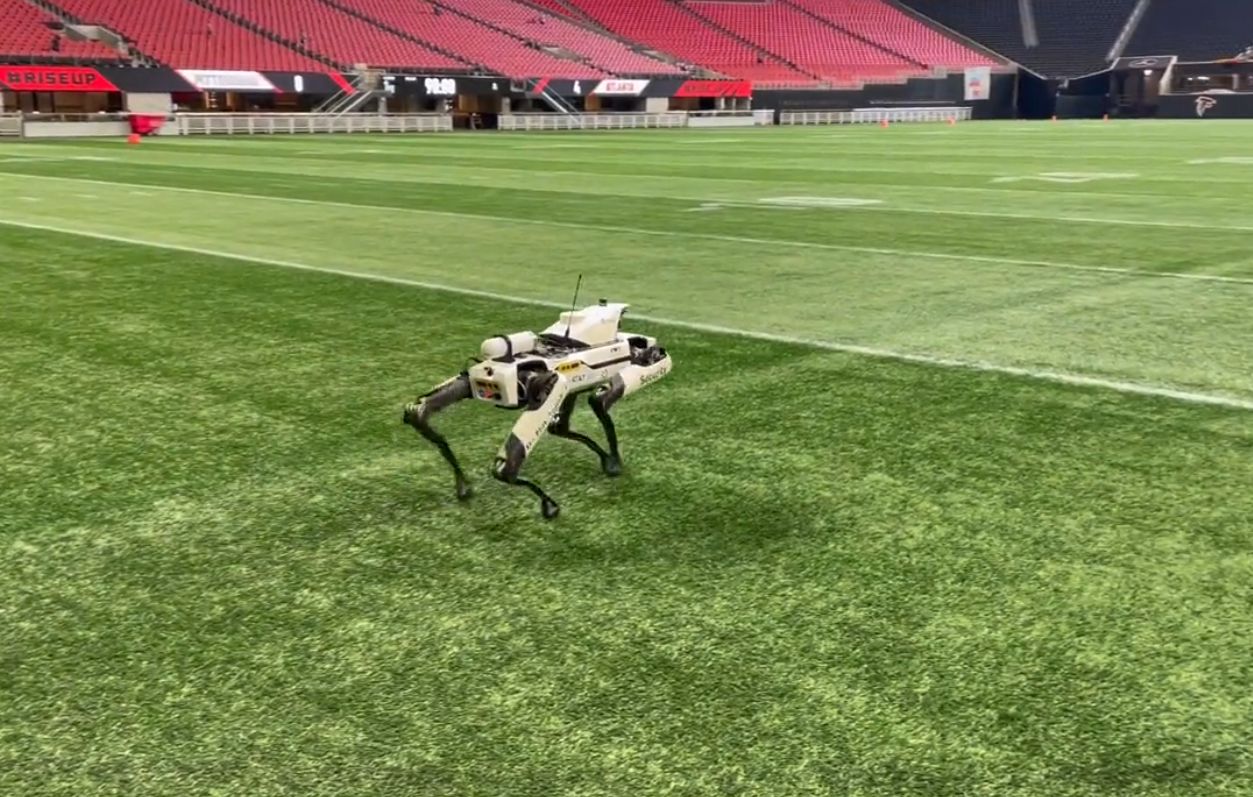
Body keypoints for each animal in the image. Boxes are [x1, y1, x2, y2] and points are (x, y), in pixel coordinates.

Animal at [405, 302, 671, 518]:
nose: (650, 349)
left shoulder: (554, 383)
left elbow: (506, 466)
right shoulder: (556, 385)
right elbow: (417, 412)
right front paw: (464, 486)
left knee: (596, 401)